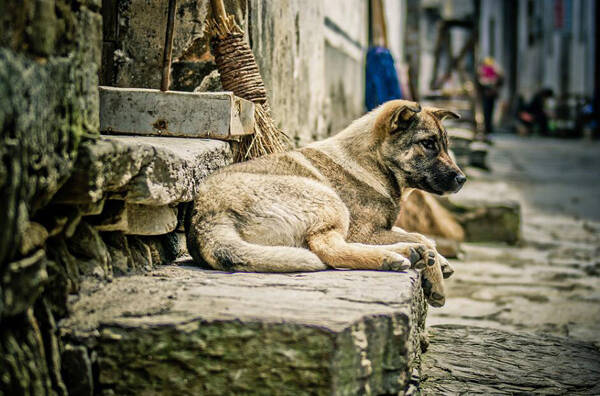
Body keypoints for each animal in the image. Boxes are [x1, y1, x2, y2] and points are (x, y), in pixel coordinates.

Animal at [186, 99, 464, 306]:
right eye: (427, 144)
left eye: (445, 146)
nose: (462, 179)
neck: (373, 163)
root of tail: (206, 216)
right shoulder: (363, 231)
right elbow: (419, 235)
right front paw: (435, 276)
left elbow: (422, 235)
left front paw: (440, 262)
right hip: (328, 200)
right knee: (328, 249)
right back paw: (395, 256)